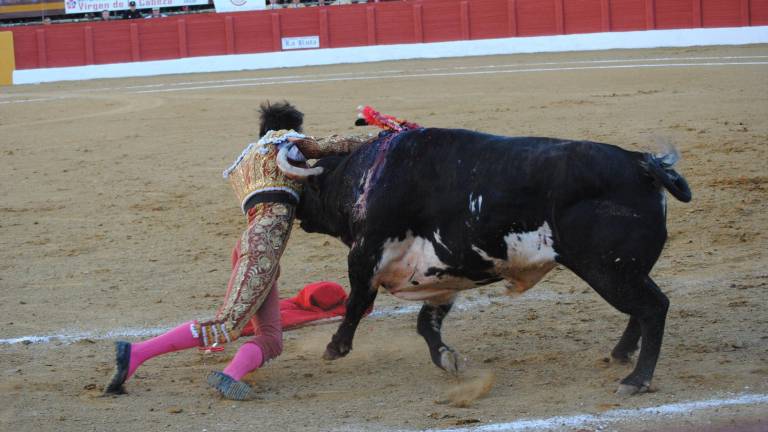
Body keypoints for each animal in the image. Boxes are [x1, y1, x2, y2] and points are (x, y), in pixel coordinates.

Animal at [294, 126, 688, 396]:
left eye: (308, 188)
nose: (296, 210)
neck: (367, 178)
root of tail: (643, 163)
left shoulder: (366, 254)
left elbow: (357, 302)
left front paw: (335, 347)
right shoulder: (439, 273)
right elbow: (426, 323)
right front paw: (447, 358)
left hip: (609, 270)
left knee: (653, 308)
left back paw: (636, 380)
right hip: (628, 270)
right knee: (644, 308)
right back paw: (621, 355)